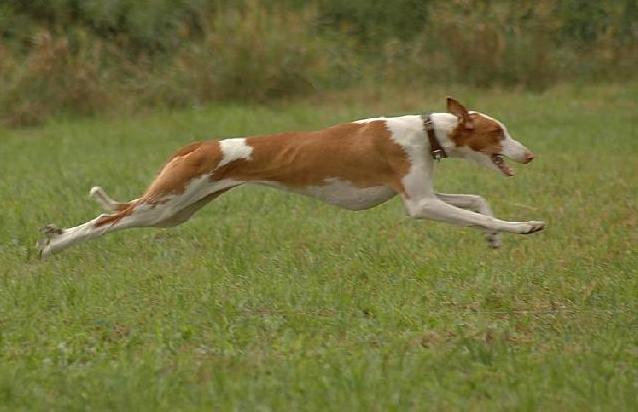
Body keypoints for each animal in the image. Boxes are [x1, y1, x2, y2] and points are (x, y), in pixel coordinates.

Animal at [37, 97, 544, 258]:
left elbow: (478, 202)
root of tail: (198, 145)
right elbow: (484, 214)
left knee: (115, 215)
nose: (530, 154)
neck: (424, 131)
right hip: (164, 203)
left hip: (176, 211)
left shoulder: (425, 194)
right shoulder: (420, 204)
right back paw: (53, 246)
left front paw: (495, 239)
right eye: (499, 132)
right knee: (105, 221)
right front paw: (522, 227)